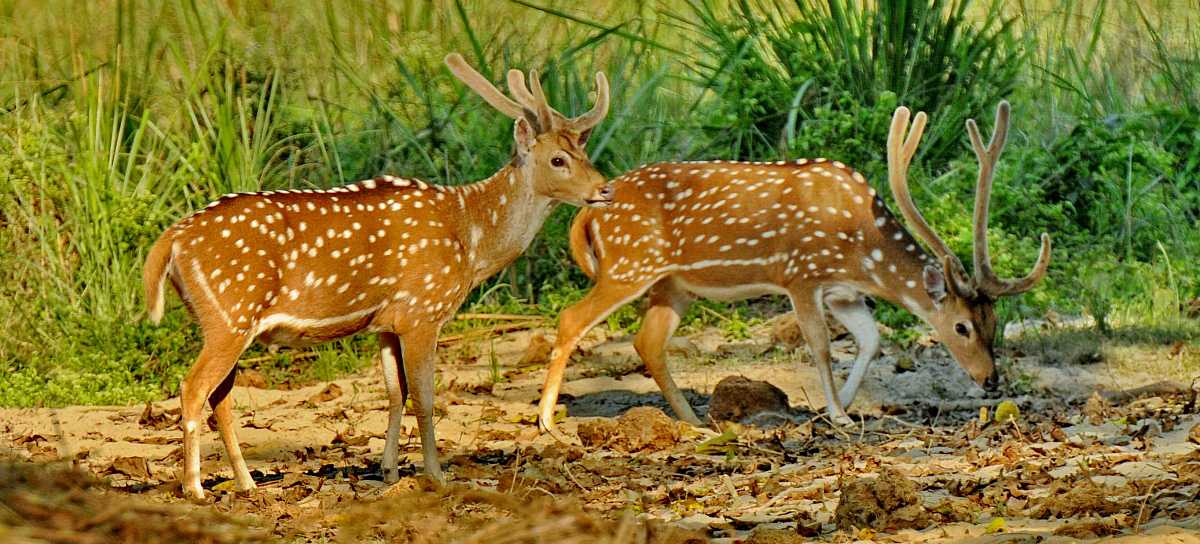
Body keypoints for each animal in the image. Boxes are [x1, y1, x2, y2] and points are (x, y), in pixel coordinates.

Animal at [141, 53, 614, 497]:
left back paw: (246, 483)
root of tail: (171, 240)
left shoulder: (387, 322)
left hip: (227, 322)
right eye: (558, 159)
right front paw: (436, 476)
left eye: (584, 152)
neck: (471, 237)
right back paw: (195, 487)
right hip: (229, 313)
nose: (605, 188)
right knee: (193, 388)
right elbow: (425, 398)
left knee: (220, 396)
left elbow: (394, 392)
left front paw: (389, 471)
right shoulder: (424, 310)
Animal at [535, 100, 1051, 432]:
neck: (861, 250)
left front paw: (841, 406)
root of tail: (585, 212)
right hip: (629, 264)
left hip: (673, 284)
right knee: (572, 318)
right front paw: (838, 413)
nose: (990, 380)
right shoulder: (801, 274)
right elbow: (820, 345)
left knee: (648, 341)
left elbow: (871, 341)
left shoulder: (844, 292)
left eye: (995, 322)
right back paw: (545, 420)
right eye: (962, 326)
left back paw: (695, 421)